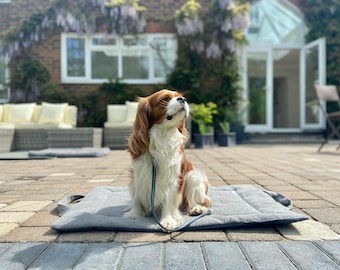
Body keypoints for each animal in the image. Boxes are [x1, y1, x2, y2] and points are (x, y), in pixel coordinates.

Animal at [123, 88, 211, 230]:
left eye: (180, 96)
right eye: (165, 99)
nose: (183, 99)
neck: (163, 134)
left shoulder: (172, 178)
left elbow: (169, 200)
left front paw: (168, 220)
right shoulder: (139, 173)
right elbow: (136, 196)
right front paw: (134, 214)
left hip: (193, 176)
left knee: (206, 202)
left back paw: (198, 209)